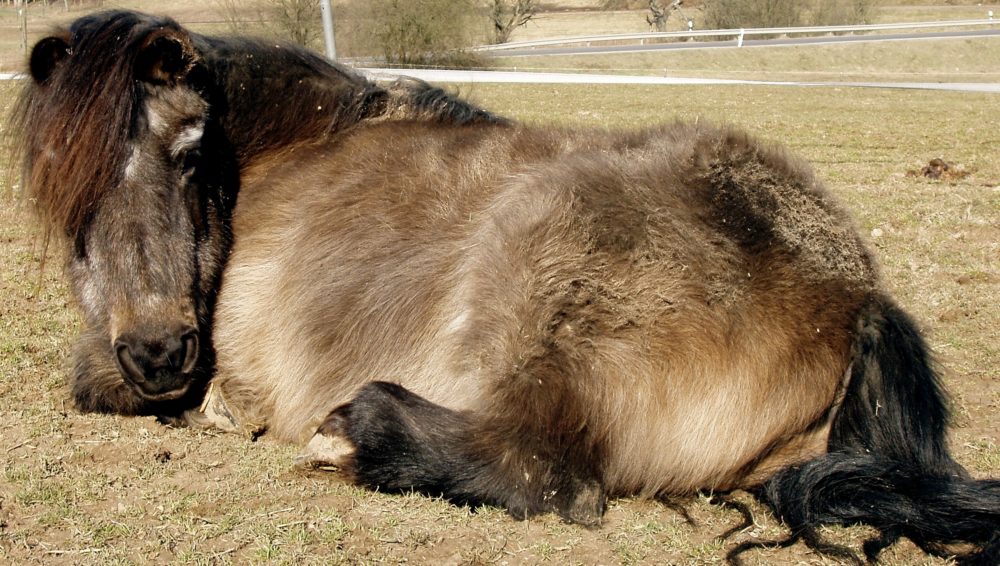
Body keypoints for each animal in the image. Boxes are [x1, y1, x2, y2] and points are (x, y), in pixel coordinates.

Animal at [9, 11, 1000, 564]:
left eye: (187, 154)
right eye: (60, 188)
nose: (161, 352)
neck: (286, 153)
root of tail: (859, 291)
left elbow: (95, 379)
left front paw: (214, 410)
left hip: (536, 278)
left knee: (547, 470)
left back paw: (354, 435)